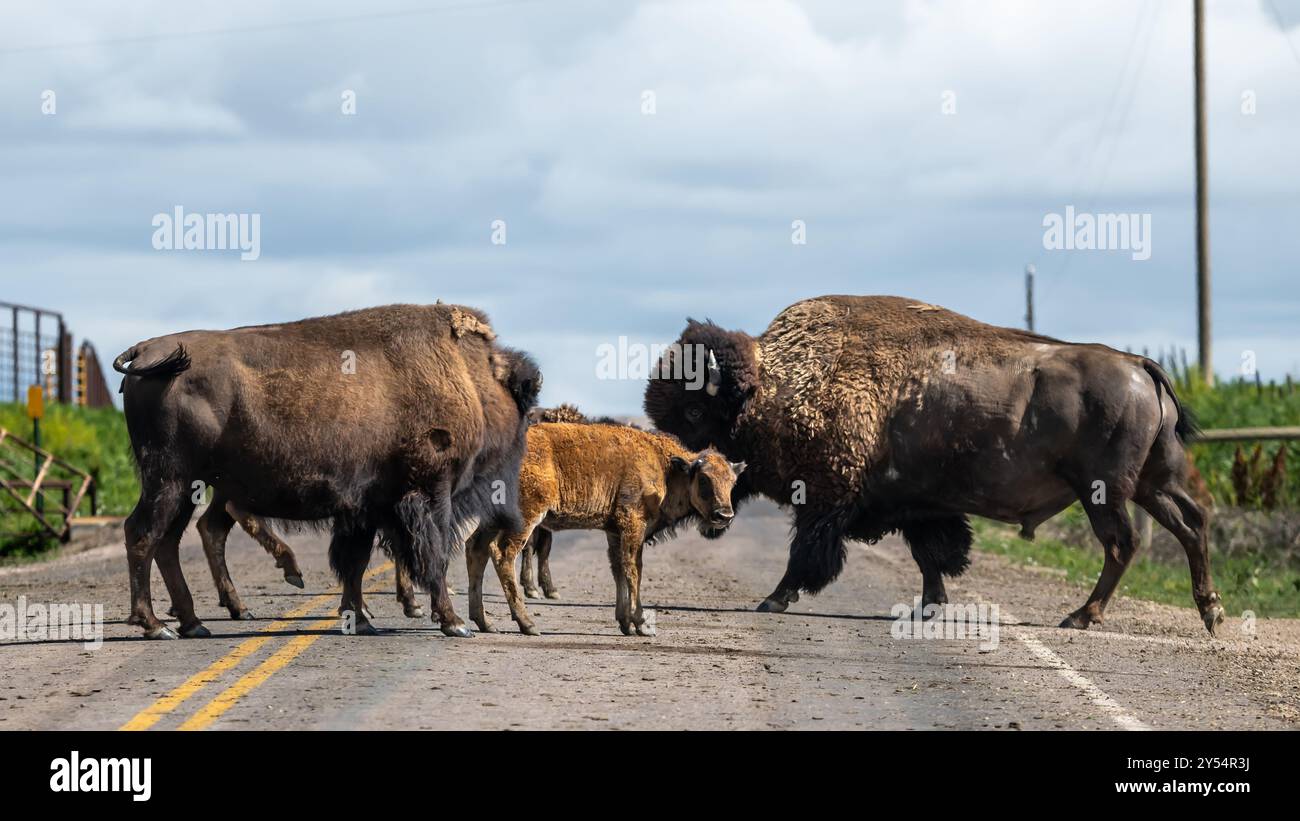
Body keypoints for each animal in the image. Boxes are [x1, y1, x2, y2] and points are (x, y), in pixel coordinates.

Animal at [644, 295, 1224, 635]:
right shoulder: (919, 506)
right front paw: (930, 606)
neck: (778, 385)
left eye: (693, 412)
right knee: (1191, 524)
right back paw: (1211, 612)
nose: (675, 463)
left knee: (1122, 542)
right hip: (1152, 483)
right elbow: (932, 557)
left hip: (1103, 490)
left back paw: (1081, 617)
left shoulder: (827, 499)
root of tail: (1140, 366)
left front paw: (773, 600)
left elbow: (807, 556)